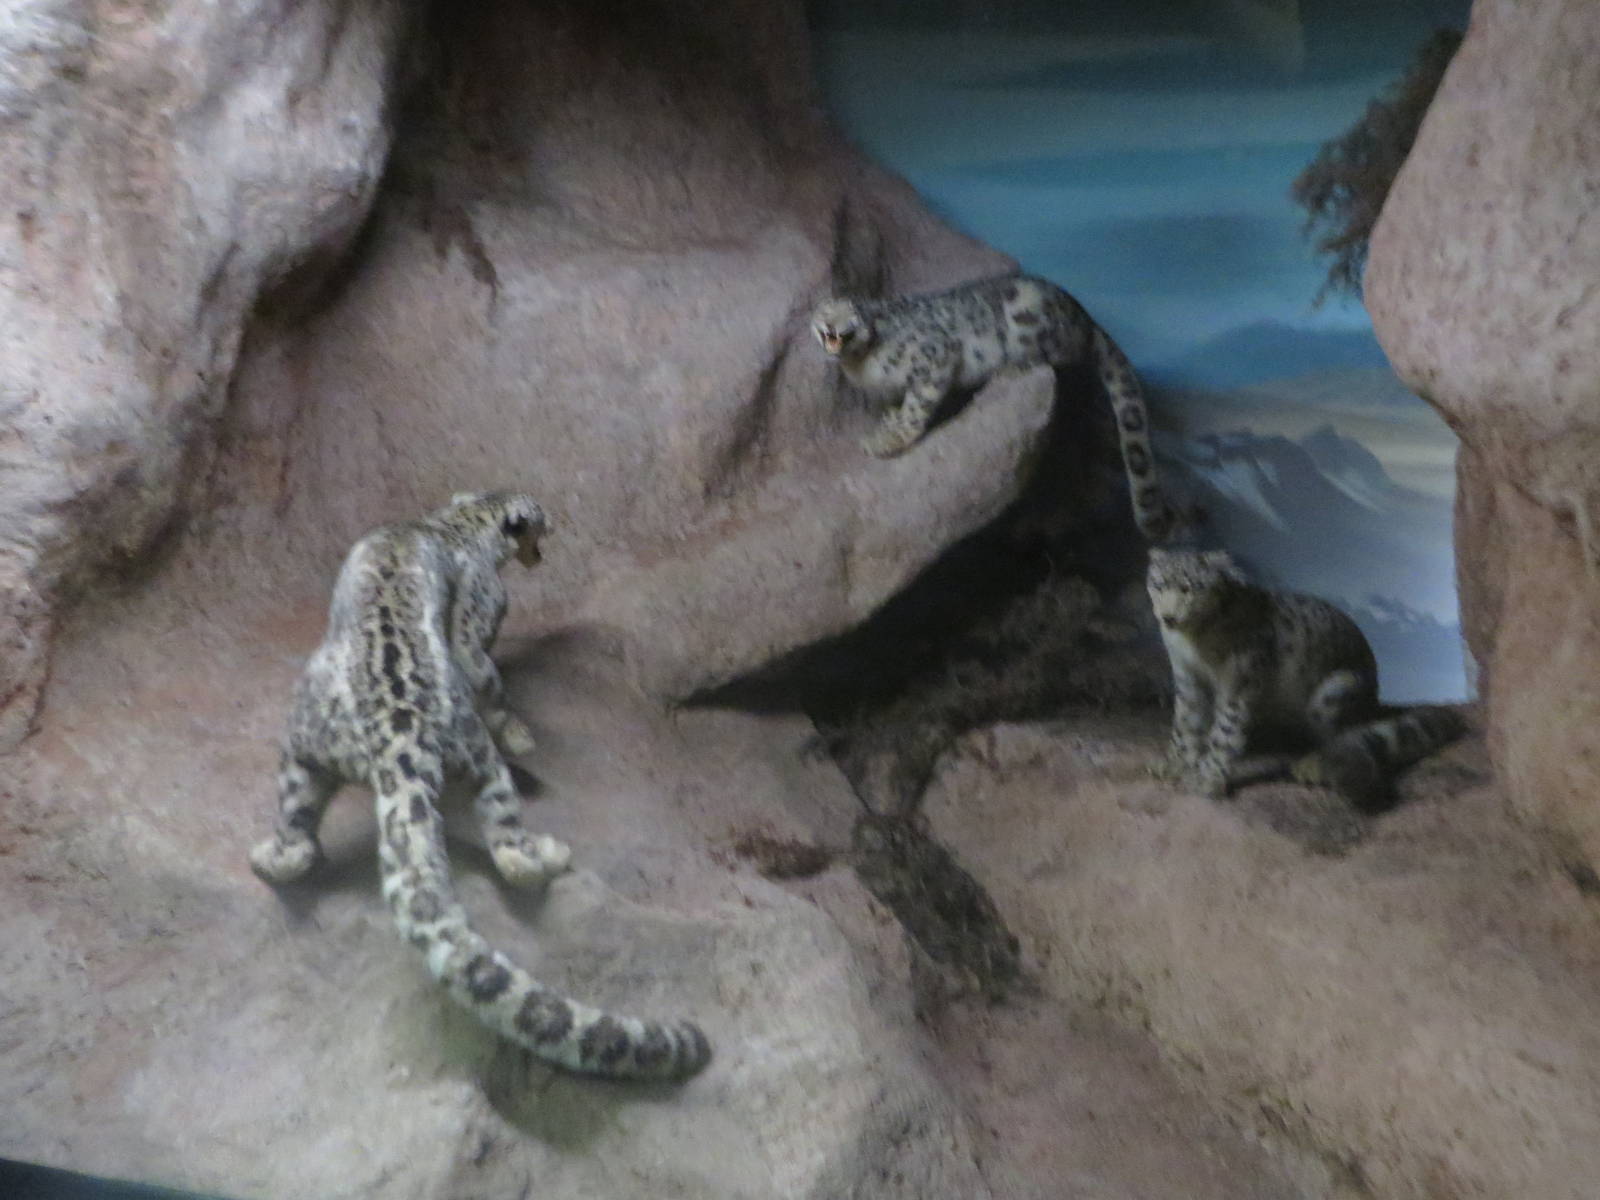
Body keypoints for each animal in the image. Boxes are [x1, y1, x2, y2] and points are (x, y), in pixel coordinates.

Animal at [248, 491, 711, 1080]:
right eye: (537, 519)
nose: (551, 532)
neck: (455, 525)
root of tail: (399, 740)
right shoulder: (482, 612)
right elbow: (484, 668)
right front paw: (521, 731)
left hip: (304, 746)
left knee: (298, 825)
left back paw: (272, 856)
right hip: (473, 750)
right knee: (506, 832)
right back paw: (544, 851)